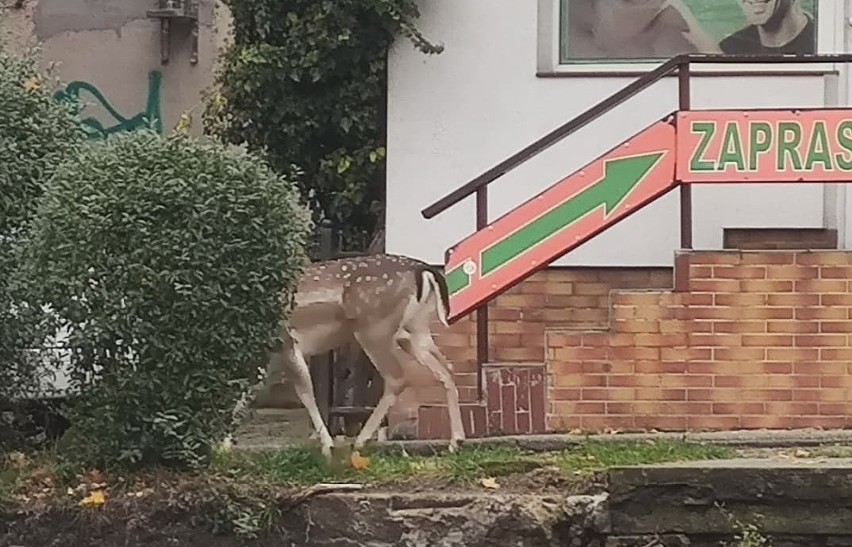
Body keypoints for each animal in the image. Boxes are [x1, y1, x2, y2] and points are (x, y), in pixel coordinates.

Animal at [228, 255, 466, 460]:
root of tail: (424, 270)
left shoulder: (287, 343)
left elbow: (306, 393)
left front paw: (327, 445)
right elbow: (248, 392)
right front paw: (225, 444)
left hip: (374, 329)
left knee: (397, 377)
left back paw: (360, 441)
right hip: (414, 330)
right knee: (447, 369)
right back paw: (456, 442)